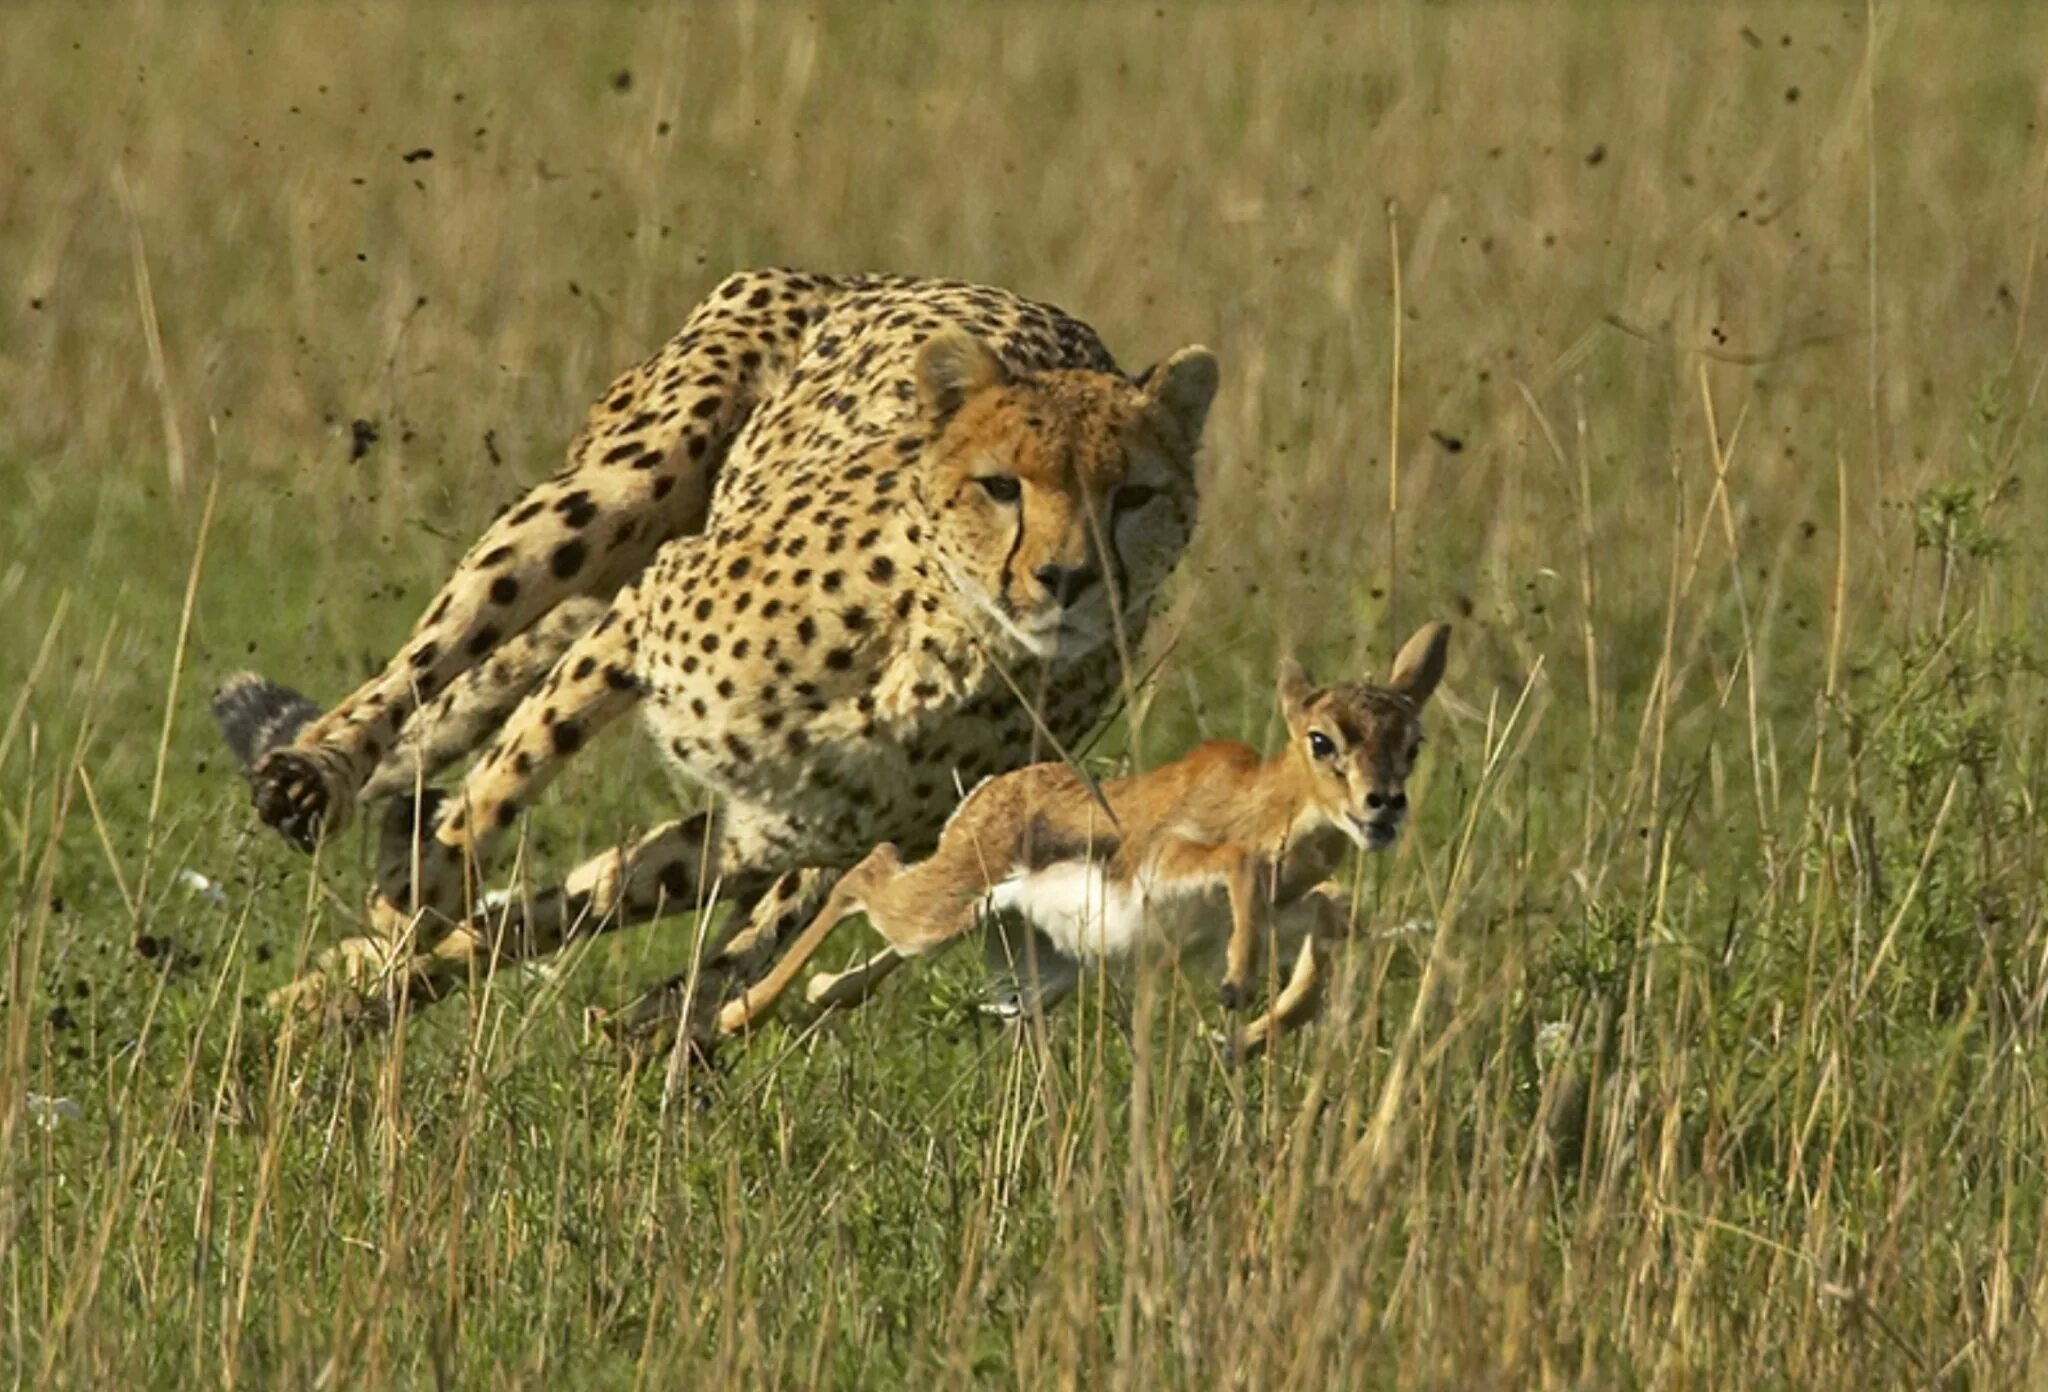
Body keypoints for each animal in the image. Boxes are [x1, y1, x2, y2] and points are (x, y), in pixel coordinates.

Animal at [222, 266, 1212, 1039]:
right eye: (1001, 487)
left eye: (1133, 496)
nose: (1068, 578)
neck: (937, 646)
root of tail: (853, 276)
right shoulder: (640, 618)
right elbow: (507, 781)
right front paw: (420, 889)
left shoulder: (773, 829)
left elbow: (566, 907)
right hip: (621, 486)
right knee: (429, 661)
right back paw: (318, 781)